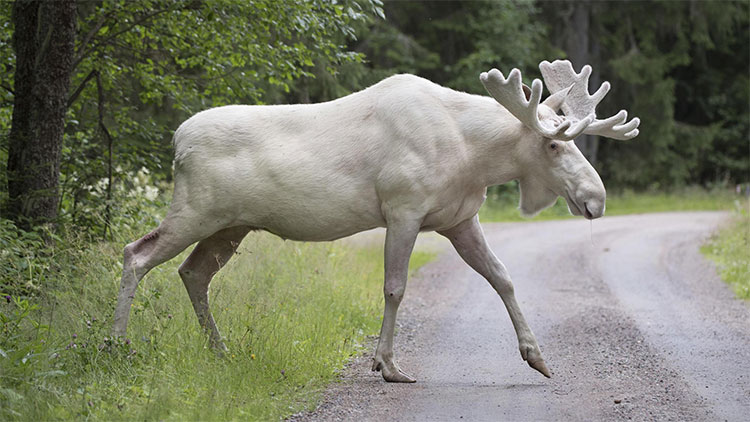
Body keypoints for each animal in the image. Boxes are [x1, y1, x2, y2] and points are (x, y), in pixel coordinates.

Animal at [112, 60, 639, 383]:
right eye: (552, 144)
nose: (596, 199)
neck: (473, 156)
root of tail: (176, 142)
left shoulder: (459, 218)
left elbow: (503, 278)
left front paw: (537, 356)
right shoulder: (403, 208)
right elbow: (395, 287)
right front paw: (387, 365)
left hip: (230, 225)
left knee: (193, 272)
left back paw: (219, 351)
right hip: (196, 210)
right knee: (136, 253)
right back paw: (116, 345)